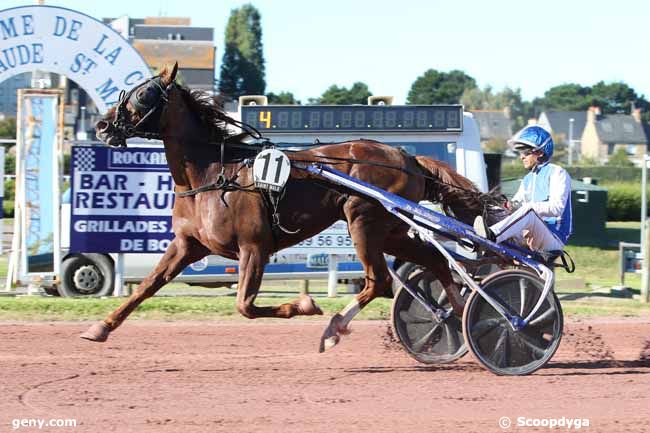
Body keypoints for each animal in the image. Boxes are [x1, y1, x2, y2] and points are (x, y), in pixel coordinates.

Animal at [81, 63, 496, 352]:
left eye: (143, 95)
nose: (102, 126)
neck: (212, 174)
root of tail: (407, 157)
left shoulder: (253, 247)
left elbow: (245, 306)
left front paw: (306, 305)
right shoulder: (188, 245)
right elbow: (147, 285)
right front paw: (99, 327)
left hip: (364, 221)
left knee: (378, 280)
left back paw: (334, 329)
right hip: (390, 230)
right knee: (434, 260)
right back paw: (459, 317)